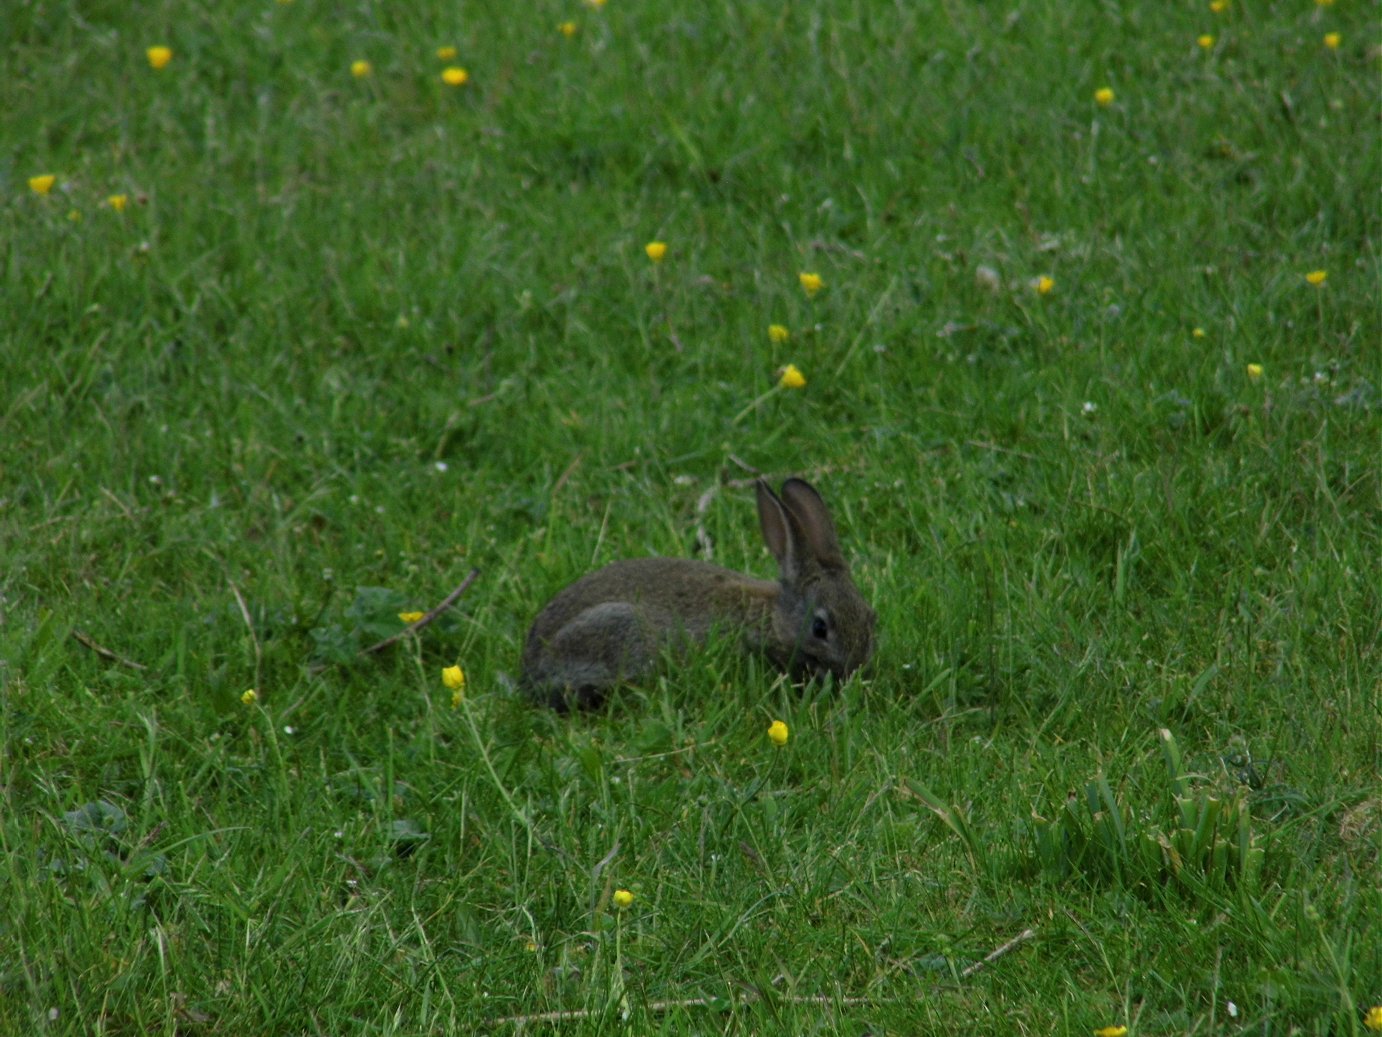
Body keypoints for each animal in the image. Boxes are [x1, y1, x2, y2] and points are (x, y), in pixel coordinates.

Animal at [519, 481, 873, 713]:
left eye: (871, 616)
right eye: (819, 628)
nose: (854, 668)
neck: (772, 618)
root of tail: (531, 670)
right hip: (619, 628)